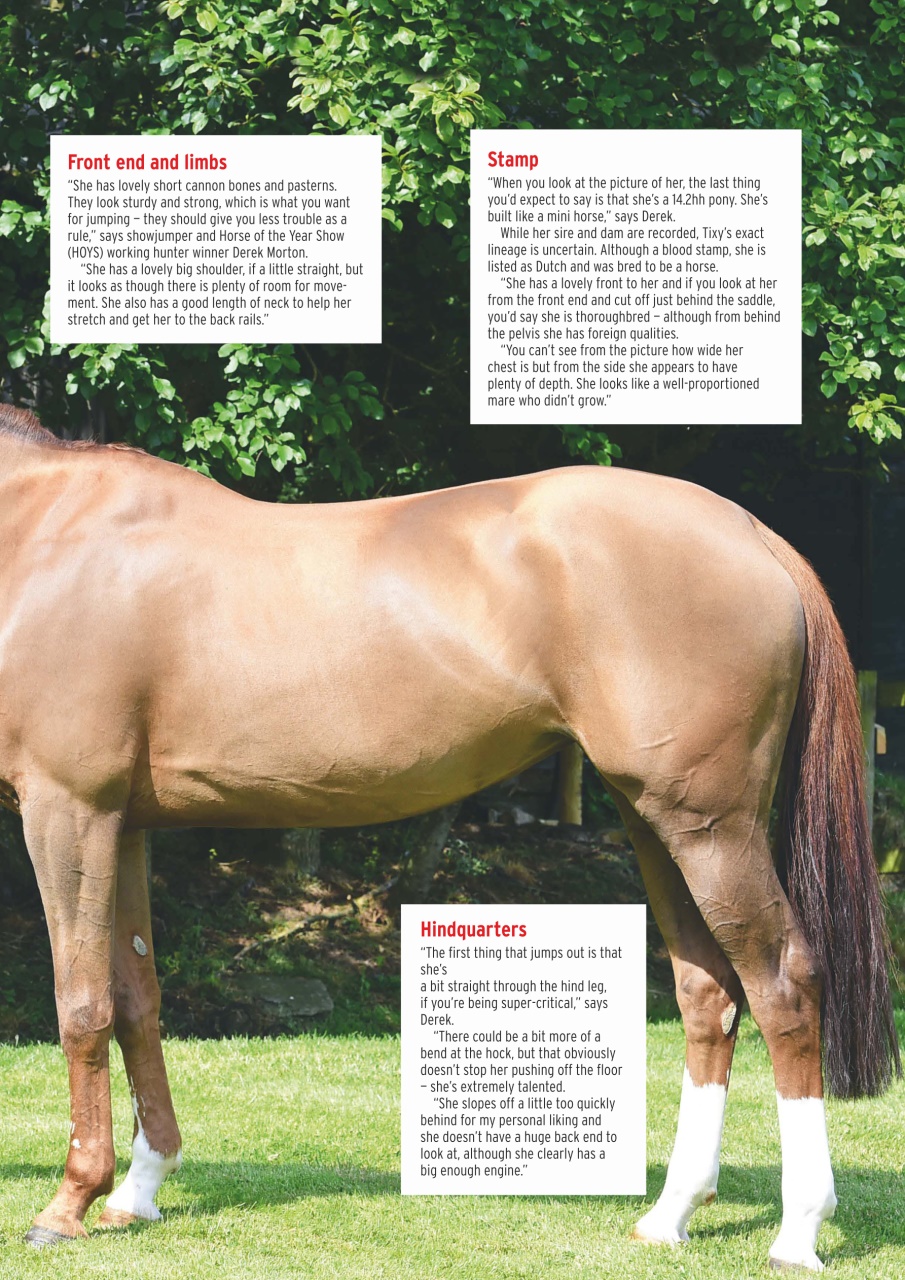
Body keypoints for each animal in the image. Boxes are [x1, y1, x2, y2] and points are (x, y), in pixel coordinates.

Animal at [0, 403, 898, 1267]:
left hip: (710, 826)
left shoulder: (68, 809)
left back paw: (796, 1232)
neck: (45, 535)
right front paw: (137, 1191)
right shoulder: (125, 824)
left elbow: (80, 1004)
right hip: (655, 818)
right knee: (707, 994)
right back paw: (668, 1215)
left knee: (783, 985)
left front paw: (68, 1203)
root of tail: (749, 533)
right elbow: (136, 999)